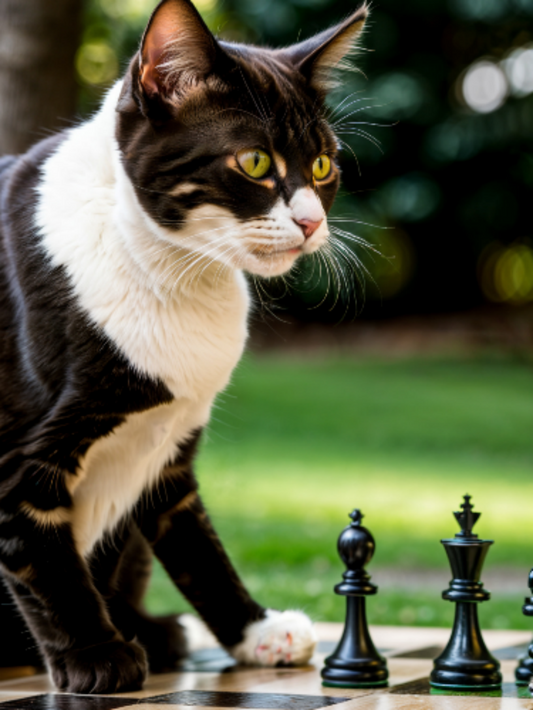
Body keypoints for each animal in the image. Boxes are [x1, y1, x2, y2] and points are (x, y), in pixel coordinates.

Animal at [0, 0, 366, 700]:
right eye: (255, 162)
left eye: (323, 166)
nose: (312, 222)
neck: (174, 272)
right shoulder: (14, 455)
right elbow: (40, 550)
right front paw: (95, 655)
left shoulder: (170, 448)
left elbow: (196, 543)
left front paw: (254, 631)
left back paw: (154, 629)